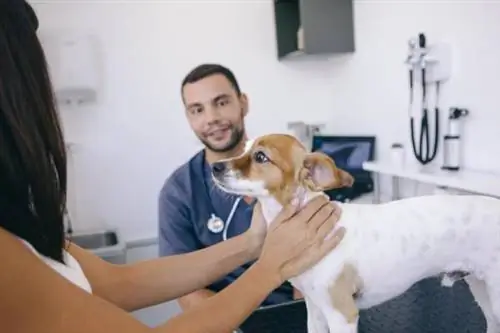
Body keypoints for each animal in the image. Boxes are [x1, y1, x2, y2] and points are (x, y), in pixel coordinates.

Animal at [209, 133, 500, 332]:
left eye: (260, 157)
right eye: (245, 148)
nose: (216, 166)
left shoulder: (343, 315)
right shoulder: (315, 310)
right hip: (482, 290)